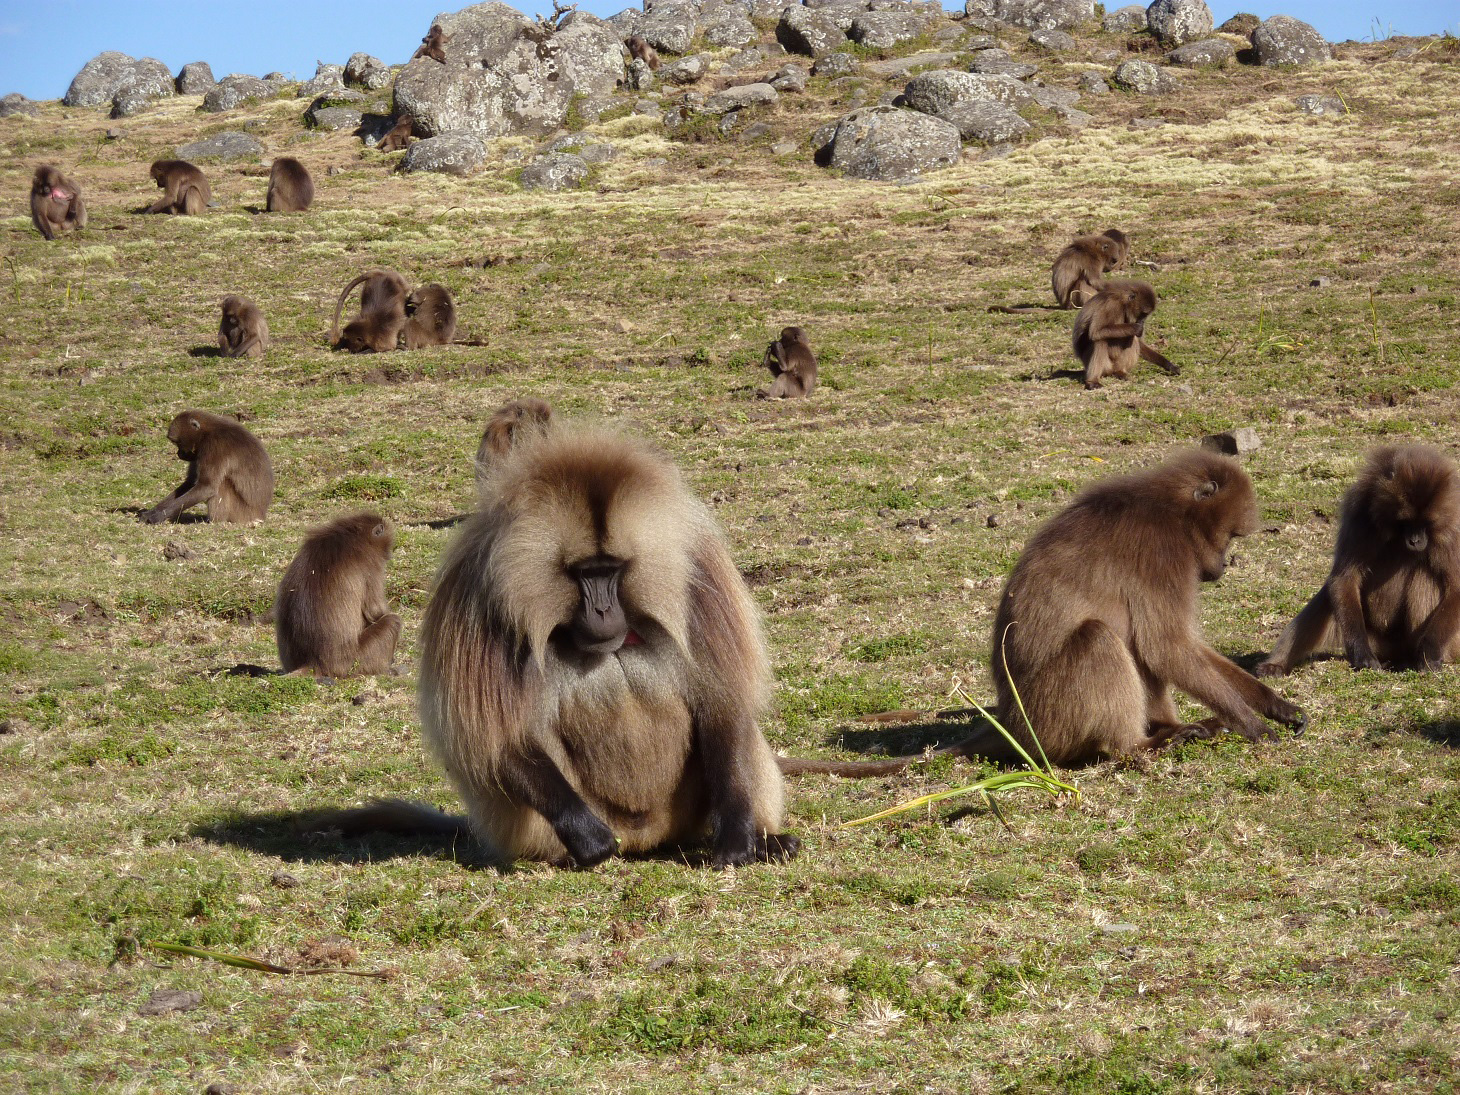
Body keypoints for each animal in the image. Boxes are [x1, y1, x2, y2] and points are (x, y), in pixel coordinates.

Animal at [138, 410, 273, 524]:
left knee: (221, 484)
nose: (179, 454)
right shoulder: (199, 453)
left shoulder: (214, 447)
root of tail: (260, 515)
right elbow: (191, 482)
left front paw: (158, 516)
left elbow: (207, 487)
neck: (206, 432)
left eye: (178, 442)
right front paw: (152, 511)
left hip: (241, 512)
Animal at [275, 512, 402, 677]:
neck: (354, 534)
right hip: (354, 661)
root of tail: (313, 662)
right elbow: (375, 611)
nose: (389, 555)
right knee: (393, 621)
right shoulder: (371, 564)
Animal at [317, 423, 800, 868]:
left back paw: (767, 841)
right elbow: (494, 736)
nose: (604, 612)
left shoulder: (699, 577)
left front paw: (738, 838)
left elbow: (723, 703)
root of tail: (646, 841)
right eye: (584, 573)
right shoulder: (476, 600)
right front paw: (588, 840)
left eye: (612, 570)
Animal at [777, 450, 1306, 776]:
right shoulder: (1162, 557)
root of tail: (1012, 718)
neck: (1169, 509)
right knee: (1102, 638)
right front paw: (1254, 725)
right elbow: (1168, 647)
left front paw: (1277, 706)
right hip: (1052, 717)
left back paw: (1171, 729)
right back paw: (1141, 744)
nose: (1223, 566)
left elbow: (1167, 650)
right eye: (1231, 537)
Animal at [1257, 445, 1460, 675]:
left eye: (1425, 523)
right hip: (1378, 642)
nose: (1415, 540)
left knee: (1426, 576)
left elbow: (1456, 587)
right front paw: (1361, 654)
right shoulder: (1360, 515)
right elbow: (1345, 578)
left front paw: (1429, 654)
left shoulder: (1452, 530)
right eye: (1405, 522)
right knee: (1329, 594)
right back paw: (1276, 664)